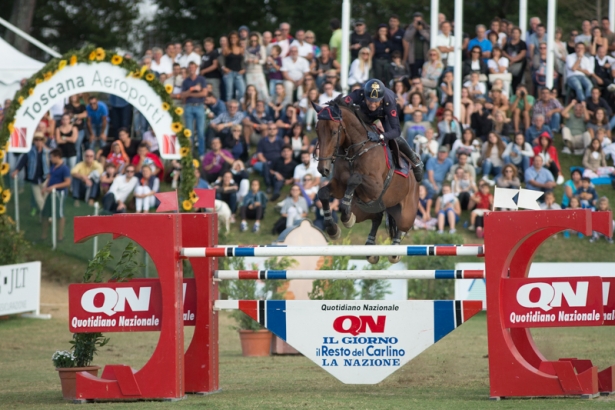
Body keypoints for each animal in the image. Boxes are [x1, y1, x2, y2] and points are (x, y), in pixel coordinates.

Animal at [312, 95, 418, 262]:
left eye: (334, 132)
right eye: (317, 130)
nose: (323, 169)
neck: (354, 151)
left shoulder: (376, 187)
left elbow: (355, 178)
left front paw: (346, 214)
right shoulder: (339, 186)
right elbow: (323, 193)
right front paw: (333, 228)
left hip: (406, 213)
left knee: (401, 226)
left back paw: (394, 251)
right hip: (364, 211)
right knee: (377, 217)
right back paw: (370, 247)